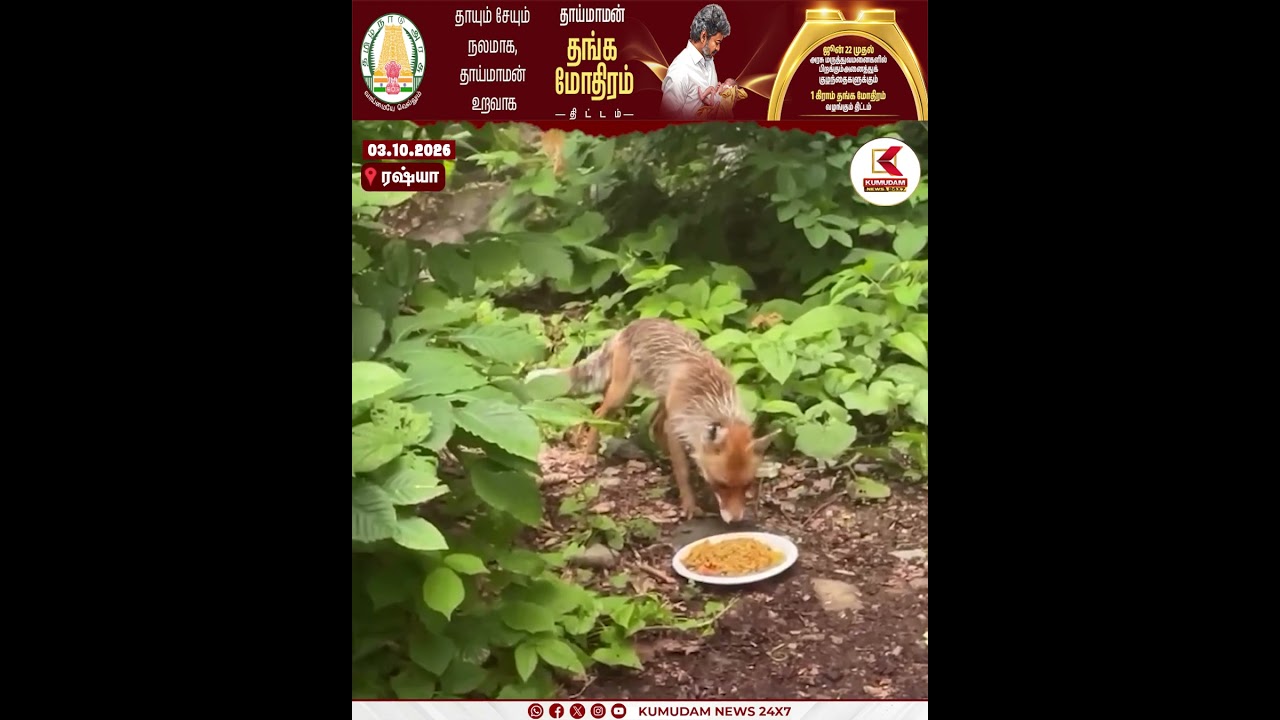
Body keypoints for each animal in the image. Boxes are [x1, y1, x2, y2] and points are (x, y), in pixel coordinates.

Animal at [528, 317, 779, 523]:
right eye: (722, 485)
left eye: (747, 485)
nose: (735, 521)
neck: (712, 398)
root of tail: (631, 325)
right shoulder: (676, 426)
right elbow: (683, 473)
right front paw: (689, 505)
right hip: (621, 394)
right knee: (598, 413)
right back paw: (589, 452)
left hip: (661, 398)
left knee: (653, 426)